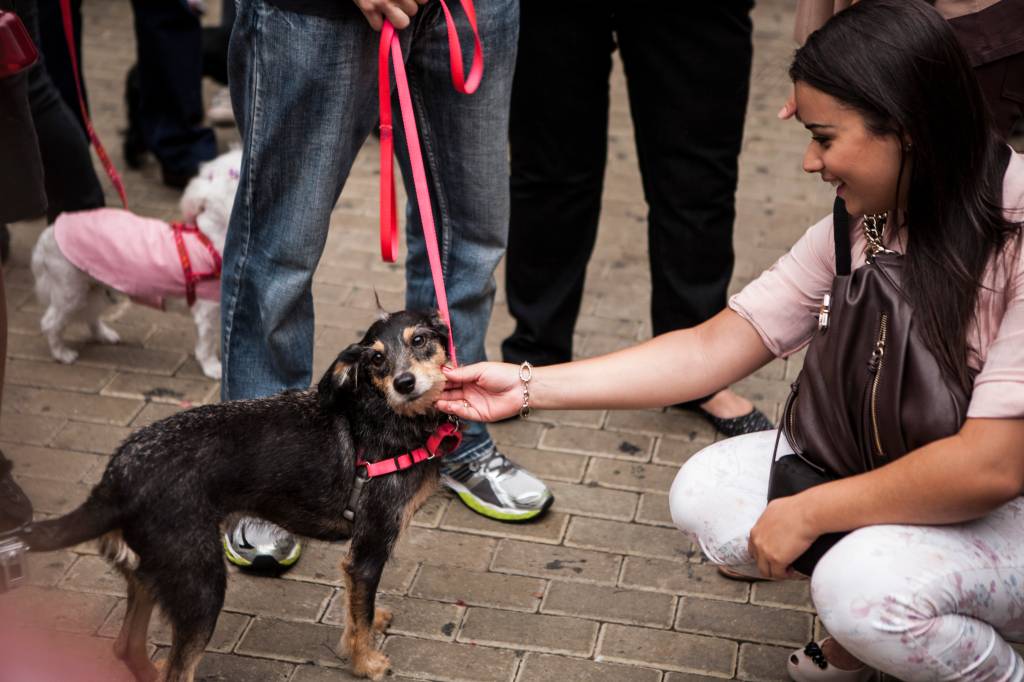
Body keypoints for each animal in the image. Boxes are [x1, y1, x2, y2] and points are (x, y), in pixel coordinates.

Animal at [18, 309, 458, 679]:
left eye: (420, 340)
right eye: (377, 360)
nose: (404, 383)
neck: (385, 413)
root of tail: (114, 480)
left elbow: (358, 610)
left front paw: (369, 625)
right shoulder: (368, 550)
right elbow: (360, 618)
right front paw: (366, 661)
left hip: (151, 574)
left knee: (126, 647)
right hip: (200, 584)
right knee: (176, 670)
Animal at [30, 148, 241, 378]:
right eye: (235, 174)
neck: (208, 239)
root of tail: (49, 233)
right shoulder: (207, 310)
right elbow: (207, 343)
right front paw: (213, 368)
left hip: (94, 286)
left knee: (90, 315)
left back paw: (104, 334)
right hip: (71, 290)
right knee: (50, 323)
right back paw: (62, 354)